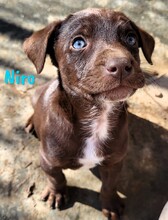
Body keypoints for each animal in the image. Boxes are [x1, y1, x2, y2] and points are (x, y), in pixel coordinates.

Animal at [23, 7, 155, 219]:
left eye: (131, 39)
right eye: (78, 43)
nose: (121, 65)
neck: (97, 117)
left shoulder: (114, 162)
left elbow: (109, 186)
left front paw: (110, 204)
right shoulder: (47, 160)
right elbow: (56, 177)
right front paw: (56, 193)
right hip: (36, 95)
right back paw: (30, 123)